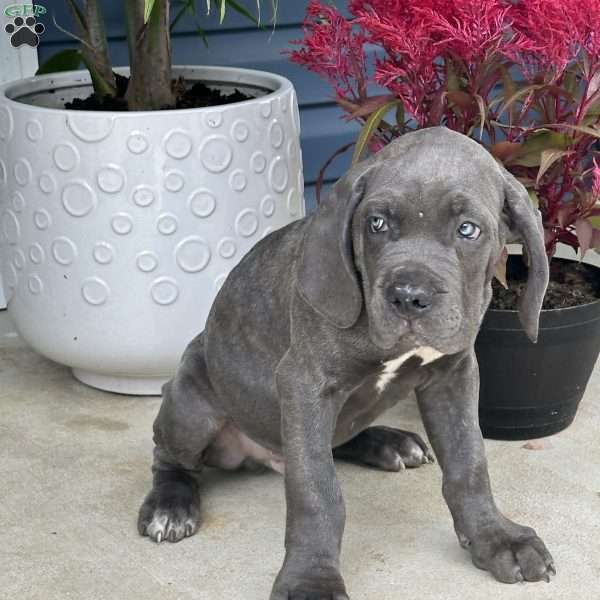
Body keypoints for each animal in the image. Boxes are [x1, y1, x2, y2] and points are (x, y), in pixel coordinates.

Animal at [138, 125, 556, 596]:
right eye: (377, 223)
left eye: (468, 230)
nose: (409, 297)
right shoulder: (305, 385)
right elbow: (316, 491)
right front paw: (311, 580)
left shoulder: (454, 374)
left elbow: (470, 462)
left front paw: (496, 538)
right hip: (191, 407)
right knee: (169, 456)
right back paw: (170, 505)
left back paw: (389, 443)